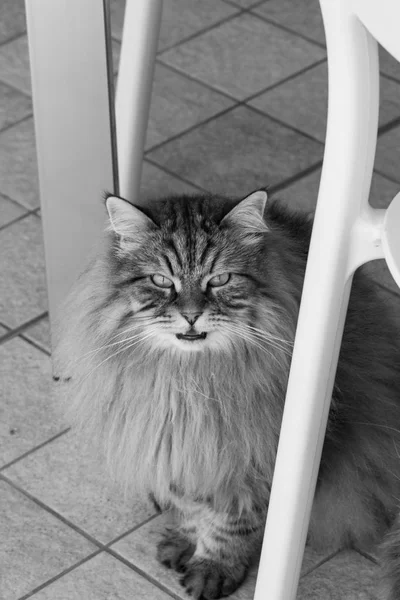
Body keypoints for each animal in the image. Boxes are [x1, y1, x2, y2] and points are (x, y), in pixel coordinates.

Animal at [54, 192, 400, 600]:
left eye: (220, 279)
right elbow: (190, 506)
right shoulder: (181, 446)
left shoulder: (247, 457)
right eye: (161, 280)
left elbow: (229, 523)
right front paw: (184, 540)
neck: (186, 383)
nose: (190, 316)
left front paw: (212, 570)